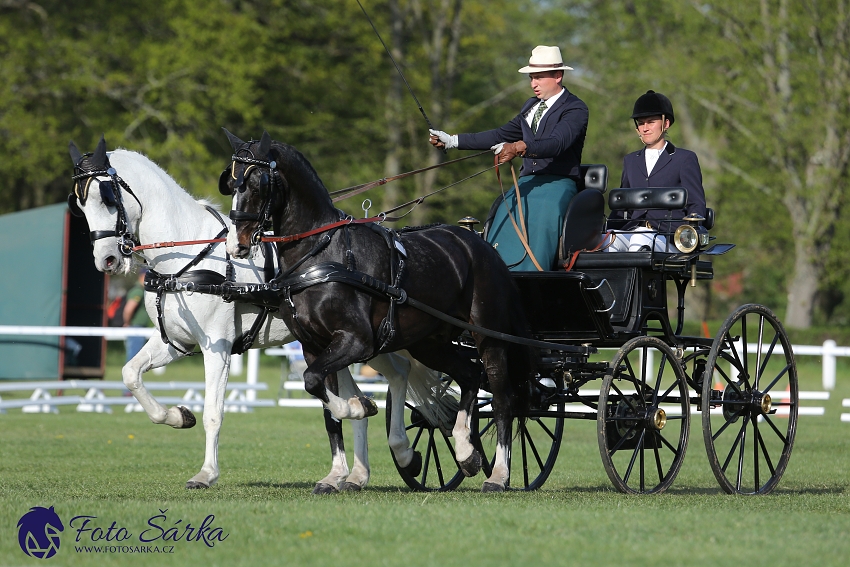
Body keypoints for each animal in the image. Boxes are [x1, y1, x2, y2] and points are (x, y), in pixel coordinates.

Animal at [68, 138, 434, 492]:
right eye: (80, 206)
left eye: (106, 198)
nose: (107, 260)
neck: (187, 257)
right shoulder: (175, 342)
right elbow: (131, 374)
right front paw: (177, 415)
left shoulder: (216, 346)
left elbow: (213, 412)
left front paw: (206, 474)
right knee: (359, 396)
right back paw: (356, 473)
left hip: (368, 340)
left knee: (398, 374)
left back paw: (403, 452)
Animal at [222, 131, 532, 490]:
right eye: (230, 183)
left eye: (256, 183)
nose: (236, 244)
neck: (322, 255)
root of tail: (482, 245)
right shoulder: (314, 346)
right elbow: (324, 402)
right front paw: (336, 472)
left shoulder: (357, 341)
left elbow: (316, 384)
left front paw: (361, 407)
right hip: (430, 343)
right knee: (469, 375)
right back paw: (466, 450)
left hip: (489, 336)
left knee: (502, 398)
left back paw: (498, 473)